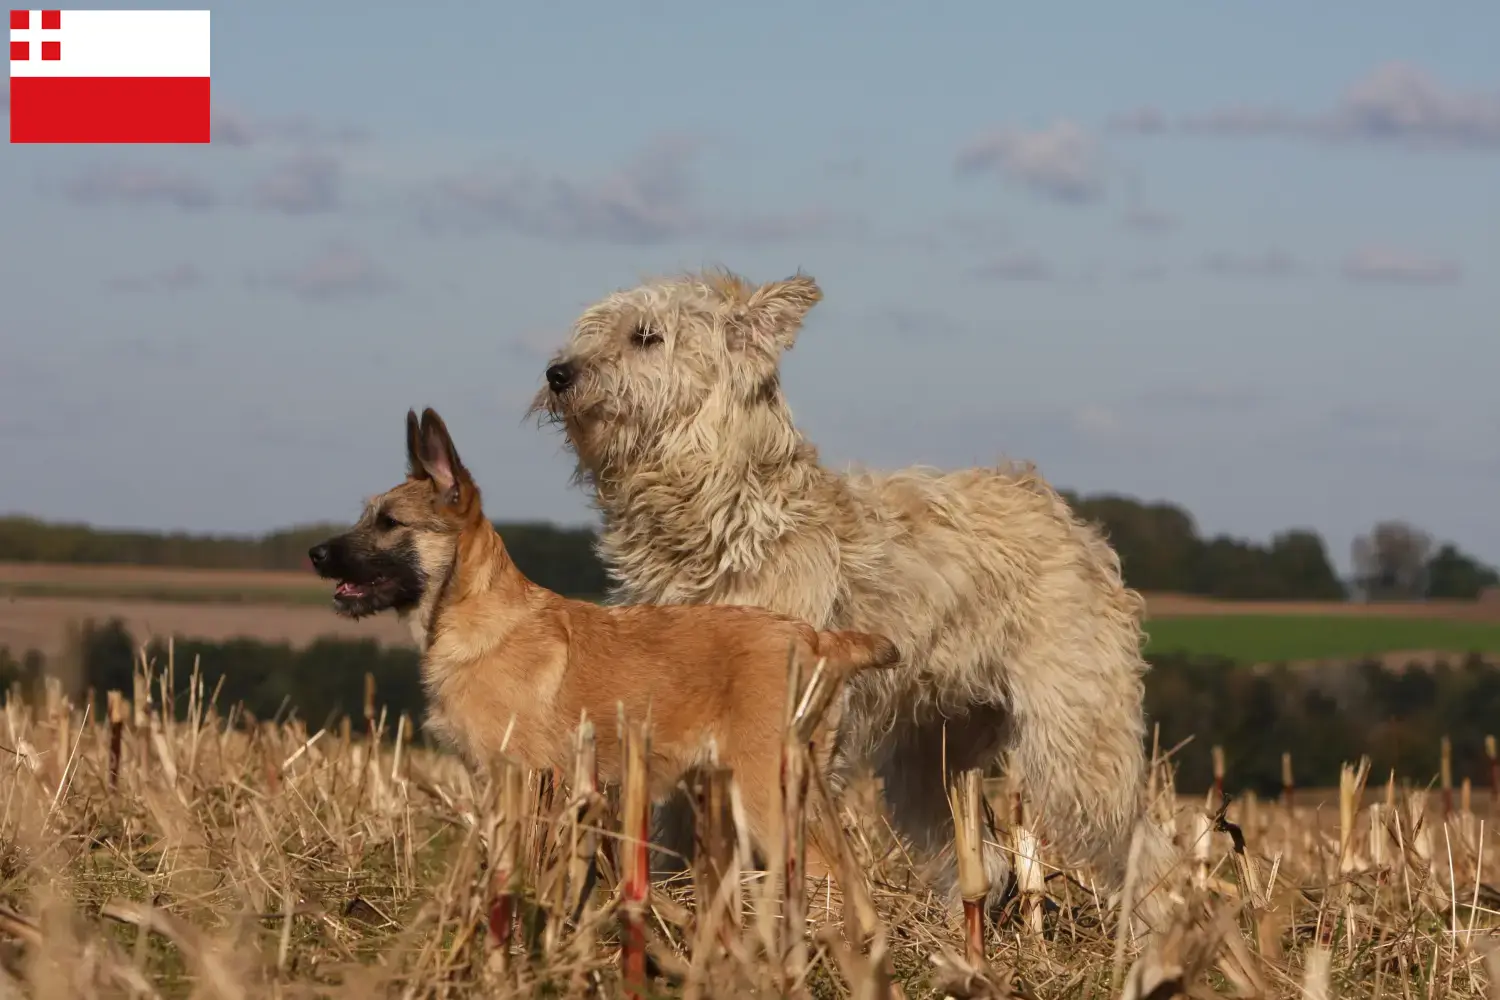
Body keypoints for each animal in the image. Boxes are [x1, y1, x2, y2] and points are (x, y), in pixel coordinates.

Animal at [303, 407, 888, 869]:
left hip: (765, 795)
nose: (315, 554)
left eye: (388, 522)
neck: (474, 612)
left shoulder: (526, 780)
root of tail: (819, 639)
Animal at [531, 268, 1182, 929]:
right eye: (592, 330)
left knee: (1142, 845)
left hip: (1077, 740)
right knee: (983, 860)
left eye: (646, 336)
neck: (720, 513)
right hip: (935, 754)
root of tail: (1065, 517)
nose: (558, 372)